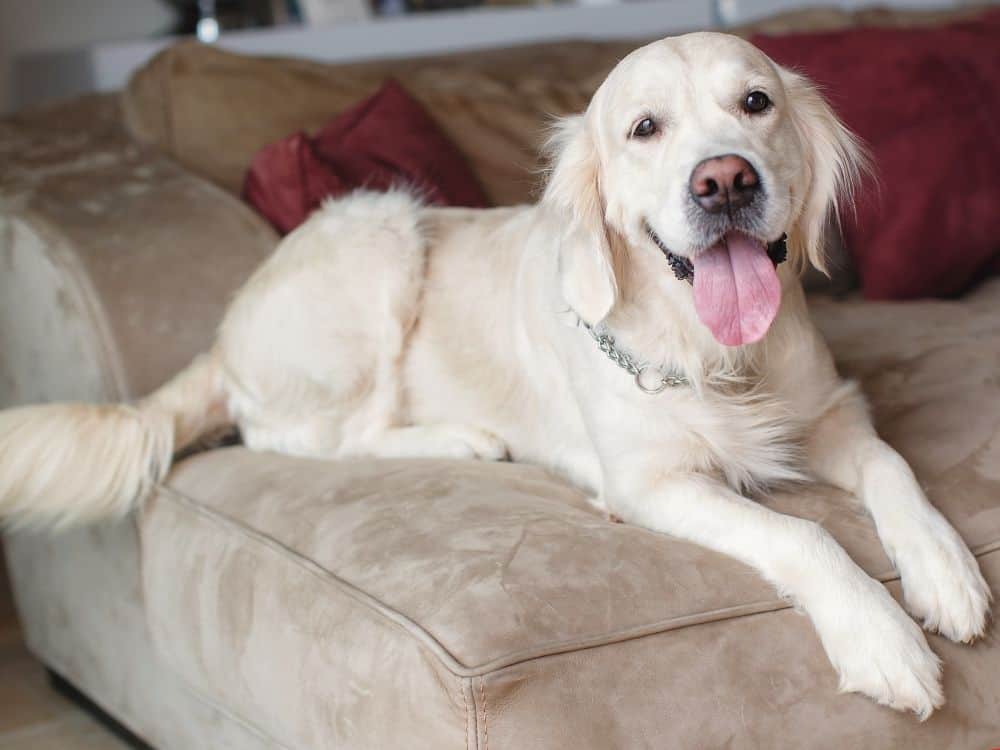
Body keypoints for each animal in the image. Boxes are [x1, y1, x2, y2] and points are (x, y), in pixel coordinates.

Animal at [0, 32, 988, 720]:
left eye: (757, 103)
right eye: (644, 128)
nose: (724, 181)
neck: (715, 353)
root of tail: (226, 328)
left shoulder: (831, 411)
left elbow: (893, 469)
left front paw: (945, 569)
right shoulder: (651, 484)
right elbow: (802, 535)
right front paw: (881, 639)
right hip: (380, 229)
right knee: (308, 435)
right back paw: (461, 438)